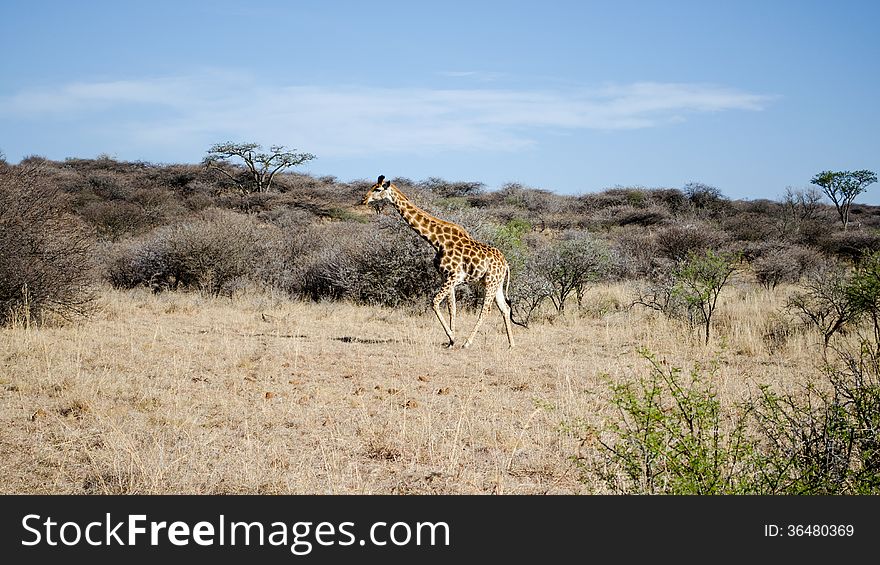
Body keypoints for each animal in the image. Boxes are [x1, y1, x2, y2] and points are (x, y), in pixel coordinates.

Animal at [362, 174, 524, 348]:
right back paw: (511, 344)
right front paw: (451, 341)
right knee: (505, 309)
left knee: (486, 310)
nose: (363, 199)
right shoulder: (446, 277)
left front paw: (453, 337)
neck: (437, 241)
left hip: (490, 282)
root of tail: (506, 264)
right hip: (495, 284)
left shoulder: (454, 276)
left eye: (377, 189)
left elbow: (434, 302)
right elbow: (452, 307)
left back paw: (468, 342)